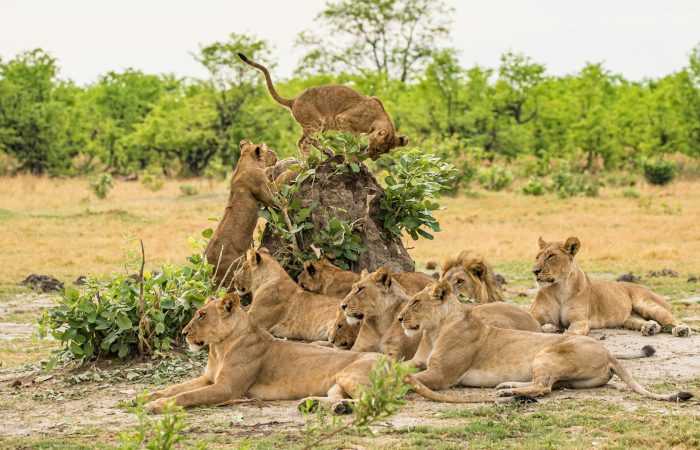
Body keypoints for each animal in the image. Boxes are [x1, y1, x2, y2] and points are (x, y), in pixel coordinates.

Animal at [396, 284, 692, 402]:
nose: (399, 318)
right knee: (550, 385)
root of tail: (608, 353)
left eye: (416, 303)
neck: (433, 331)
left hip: (547, 354)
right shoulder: (418, 362)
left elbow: (406, 377)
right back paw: (507, 387)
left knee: (543, 387)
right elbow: (397, 366)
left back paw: (507, 393)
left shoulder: (442, 375)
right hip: (569, 378)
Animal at [532, 236, 688, 338]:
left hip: (647, 304)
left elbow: (572, 333)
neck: (559, 287)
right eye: (537, 257)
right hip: (629, 319)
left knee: (670, 318)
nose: (535, 271)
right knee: (652, 323)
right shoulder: (535, 314)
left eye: (551, 256)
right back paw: (650, 327)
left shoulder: (579, 320)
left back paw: (681, 329)